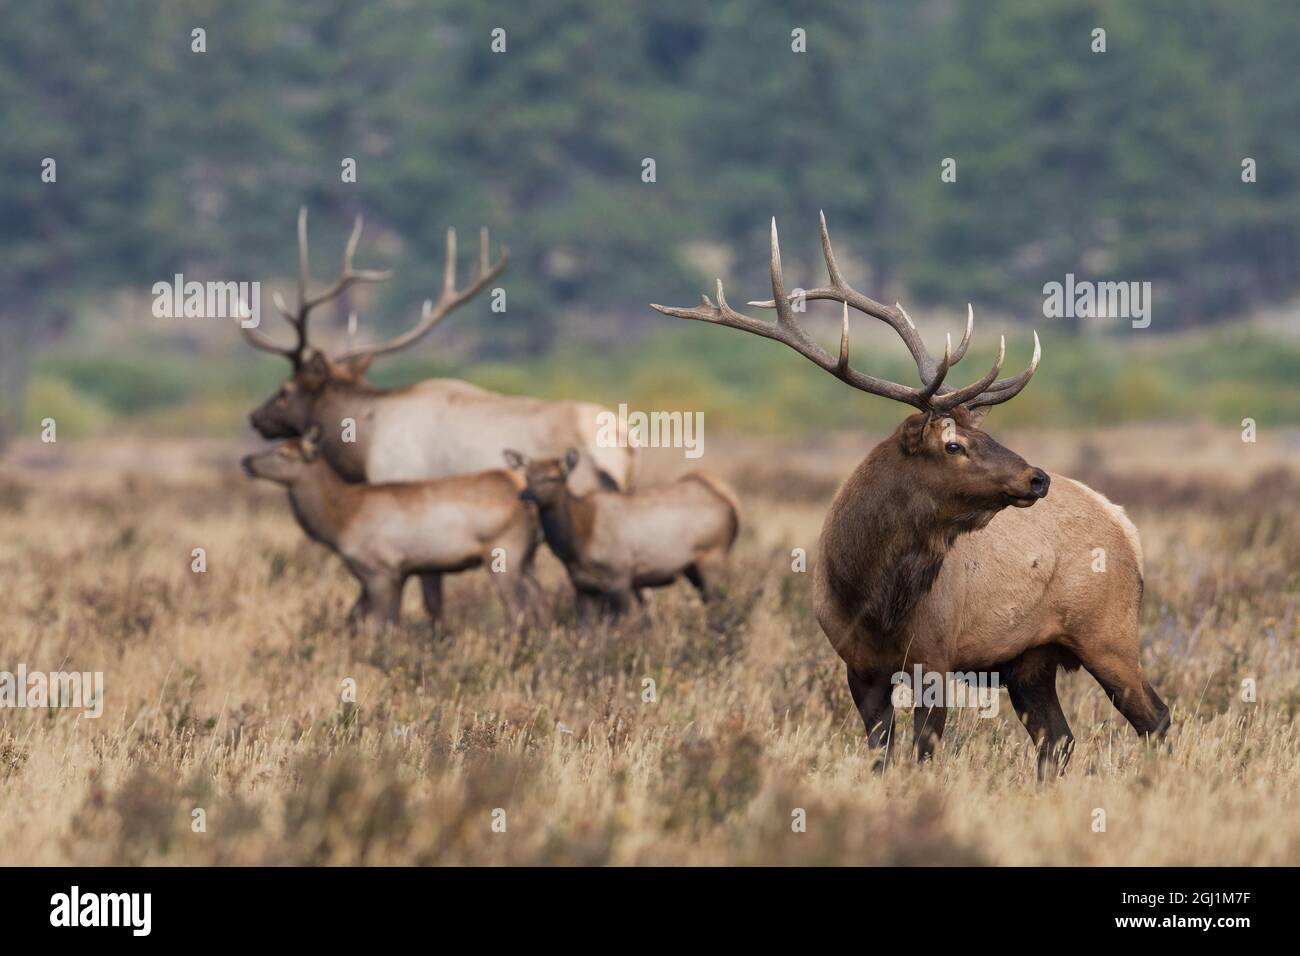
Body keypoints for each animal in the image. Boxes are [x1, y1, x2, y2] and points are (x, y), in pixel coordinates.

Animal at [241, 429, 540, 633]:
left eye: (282, 453)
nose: (246, 460)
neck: (339, 522)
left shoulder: (380, 571)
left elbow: (379, 628)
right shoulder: (398, 574)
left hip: (504, 553)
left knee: (517, 611)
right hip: (528, 558)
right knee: (543, 605)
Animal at [504, 448, 740, 621]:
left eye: (552, 478)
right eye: (527, 475)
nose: (524, 495)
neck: (576, 544)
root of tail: (731, 507)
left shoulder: (620, 575)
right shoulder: (583, 586)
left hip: (713, 556)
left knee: (721, 604)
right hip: (692, 568)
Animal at [653, 213, 1170, 777]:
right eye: (954, 444)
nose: (1038, 478)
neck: (872, 598)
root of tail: (1124, 523)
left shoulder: (936, 658)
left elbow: (924, 752)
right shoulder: (859, 667)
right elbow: (881, 753)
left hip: (1110, 633)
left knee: (1155, 717)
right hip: (1028, 661)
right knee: (1059, 738)